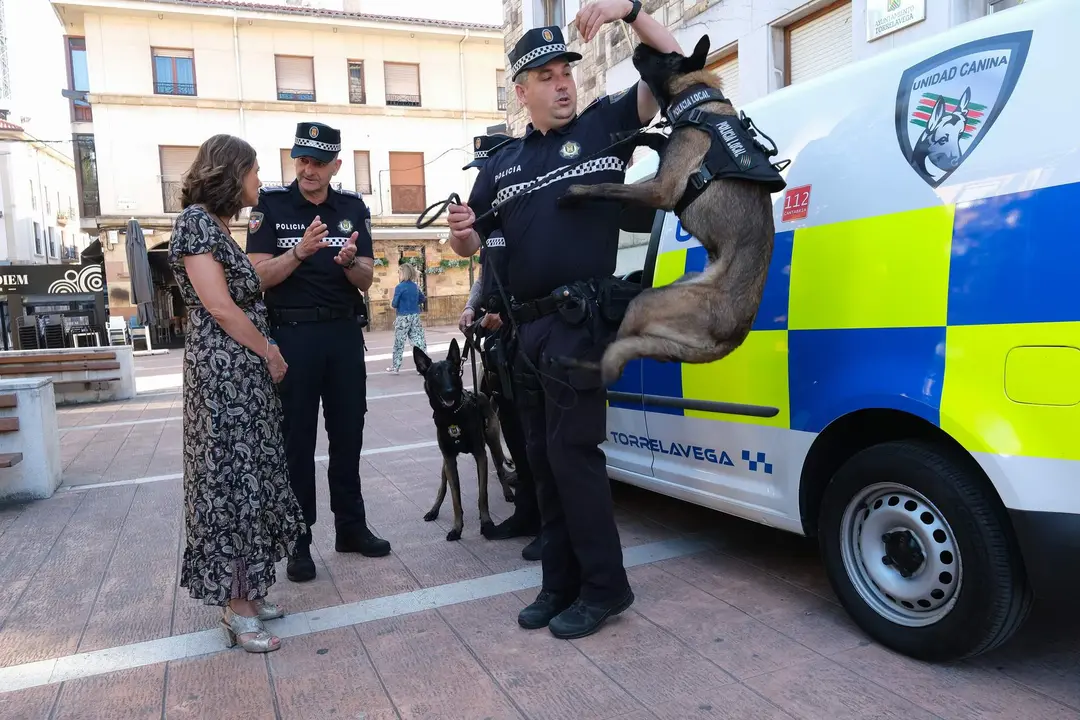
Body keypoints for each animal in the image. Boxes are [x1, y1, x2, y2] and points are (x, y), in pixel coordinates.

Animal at [248, 122, 393, 587]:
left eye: (317, 161)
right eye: (302, 158)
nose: (306, 171)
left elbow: (360, 258)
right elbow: (263, 263)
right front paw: (304, 247)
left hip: (345, 380)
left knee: (347, 440)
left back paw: (356, 537)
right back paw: (300, 555)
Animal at [442, 4, 678, 634]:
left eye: (561, 72)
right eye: (545, 77)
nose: (564, 88)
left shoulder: (627, 111)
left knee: (559, 459)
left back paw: (593, 598)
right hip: (524, 398)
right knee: (541, 465)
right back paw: (553, 591)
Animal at [557, 34, 786, 386]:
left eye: (665, 58)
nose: (638, 45)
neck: (698, 103)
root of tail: (731, 339)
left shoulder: (661, 190)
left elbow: (607, 188)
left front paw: (575, 193)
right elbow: (654, 136)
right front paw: (627, 134)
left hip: (645, 301)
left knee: (611, 360)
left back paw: (575, 364)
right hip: (678, 287)